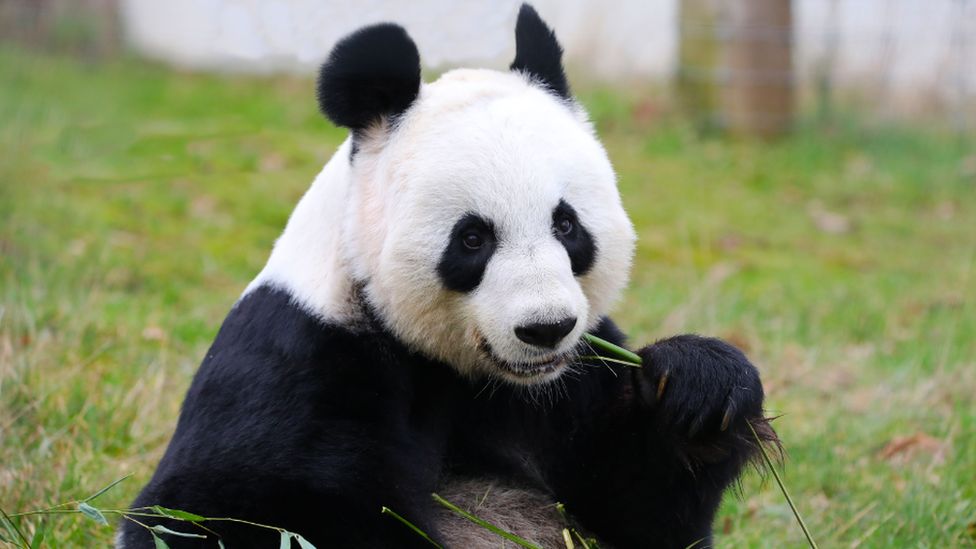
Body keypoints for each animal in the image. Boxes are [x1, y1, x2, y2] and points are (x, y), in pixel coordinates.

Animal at [116, 5, 772, 548]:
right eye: (473, 239)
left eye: (566, 225)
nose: (545, 329)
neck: (468, 373)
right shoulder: (300, 356)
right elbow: (213, 510)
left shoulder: (571, 381)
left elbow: (639, 509)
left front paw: (697, 384)